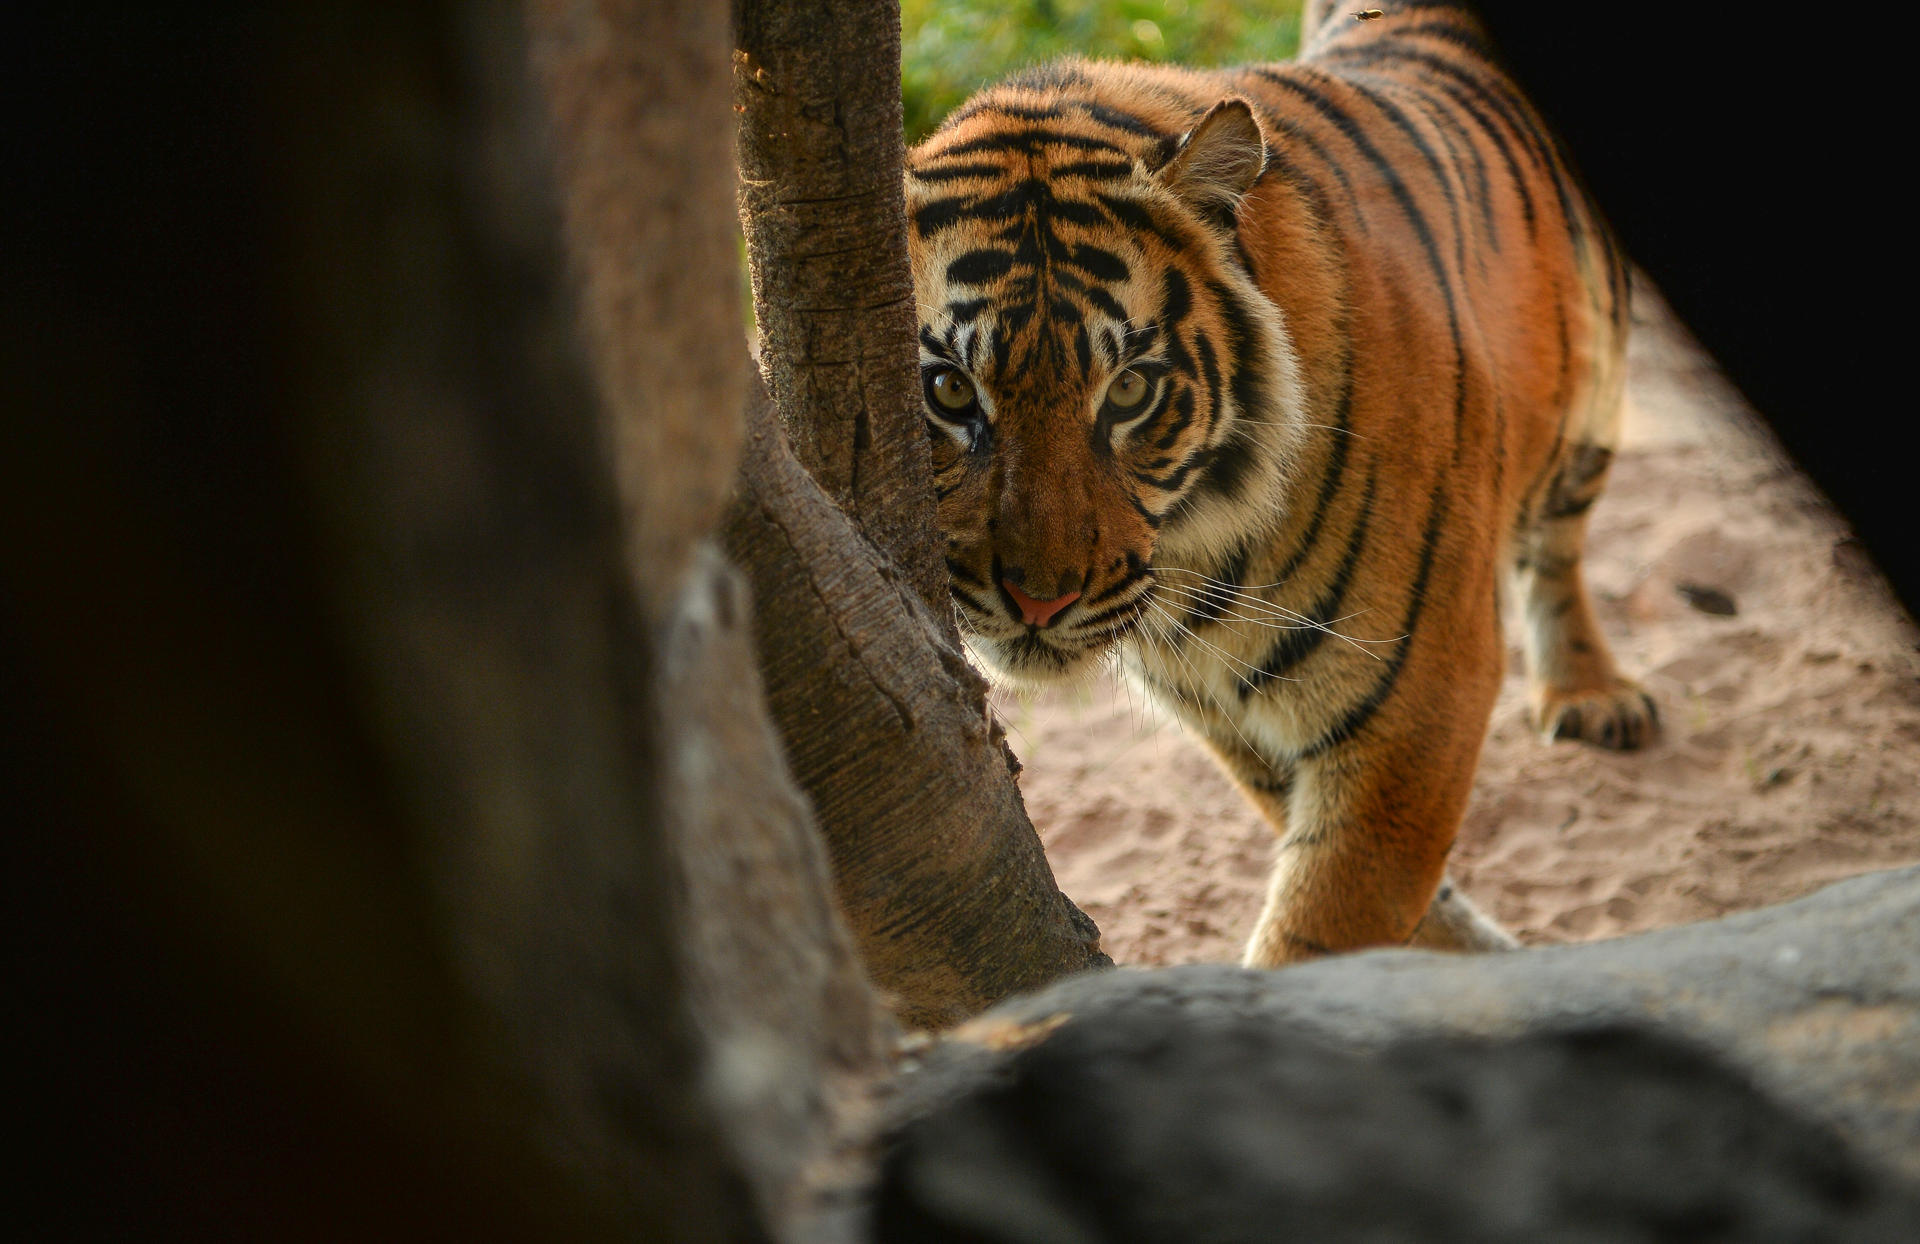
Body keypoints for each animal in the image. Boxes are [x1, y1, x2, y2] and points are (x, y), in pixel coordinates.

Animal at [902, 0, 1658, 967]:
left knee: (1560, 536)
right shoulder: (1237, 720)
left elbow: (1326, 918)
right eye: (950, 391)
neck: (1200, 560)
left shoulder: (1418, 704)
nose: (1040, 601)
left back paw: (1590, 693)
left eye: (1130, 392)